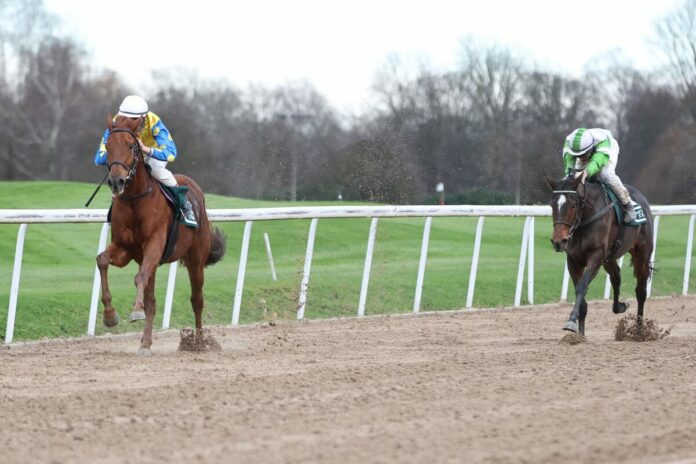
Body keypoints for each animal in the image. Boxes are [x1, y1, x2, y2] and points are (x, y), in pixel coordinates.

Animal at [95, 116, 224, 356]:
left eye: (130, 145)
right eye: (107, 146)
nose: (116, 181)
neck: (135, 199)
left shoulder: (154, 245)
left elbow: (139, 278)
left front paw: (135, 310)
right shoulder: (124, 248)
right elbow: (102, 260)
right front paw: (110, 316)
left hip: (196, 259)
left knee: (197, 300)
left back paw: (199, 342)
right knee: (153, 301)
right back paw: (145, 342)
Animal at [548, 176, 656, 336]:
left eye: (573, 205)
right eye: (552, 205)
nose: (558, 241)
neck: (585, 219)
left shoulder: (596, 256)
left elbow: (582, 287)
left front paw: (571, 321)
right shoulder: (573, 260)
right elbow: (580, 292)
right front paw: (580, 336)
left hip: (642, 253)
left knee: (641, 291)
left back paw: (639, 331)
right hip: (610, 257)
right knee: (616, 277)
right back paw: (620, 307)